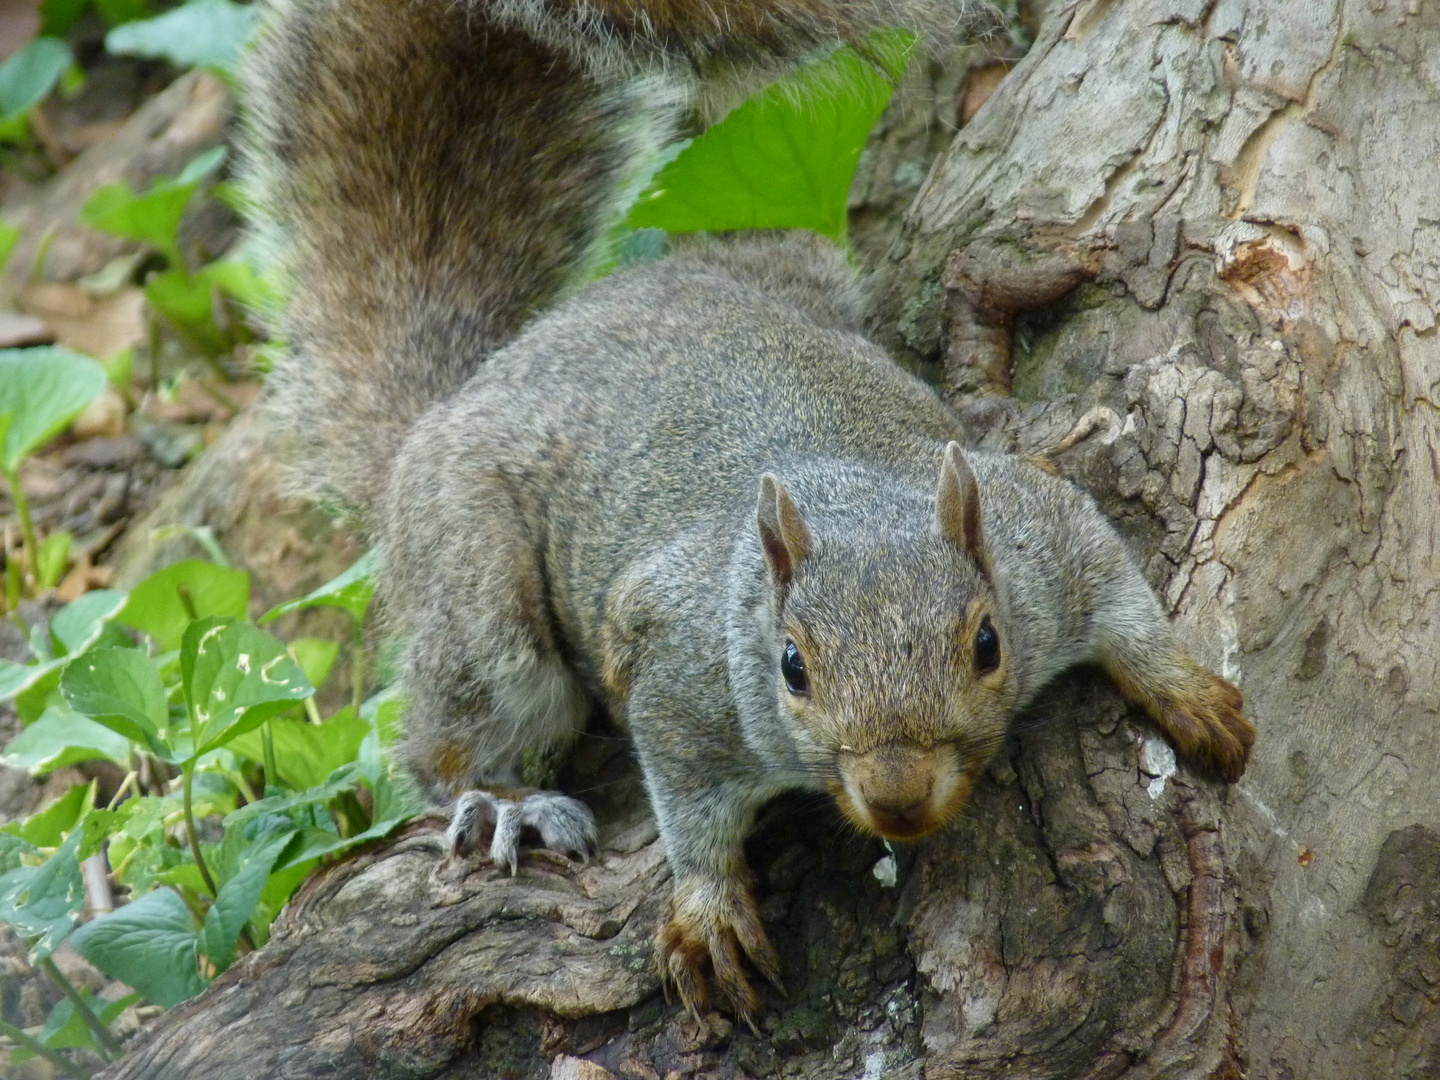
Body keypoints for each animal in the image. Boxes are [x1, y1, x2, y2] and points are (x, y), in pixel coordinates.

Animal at [241, 0, 1255, 1025]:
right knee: (447, 733)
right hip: (479, 581)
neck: (848, 497)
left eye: (987, 645)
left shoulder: (1037, 533)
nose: (896, 795)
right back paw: (499, 800)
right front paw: (708, 910)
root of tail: (462, 393)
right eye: (790, 667)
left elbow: (1116, 584)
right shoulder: (684, 678)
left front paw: (1188, 692)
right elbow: (688, 806)